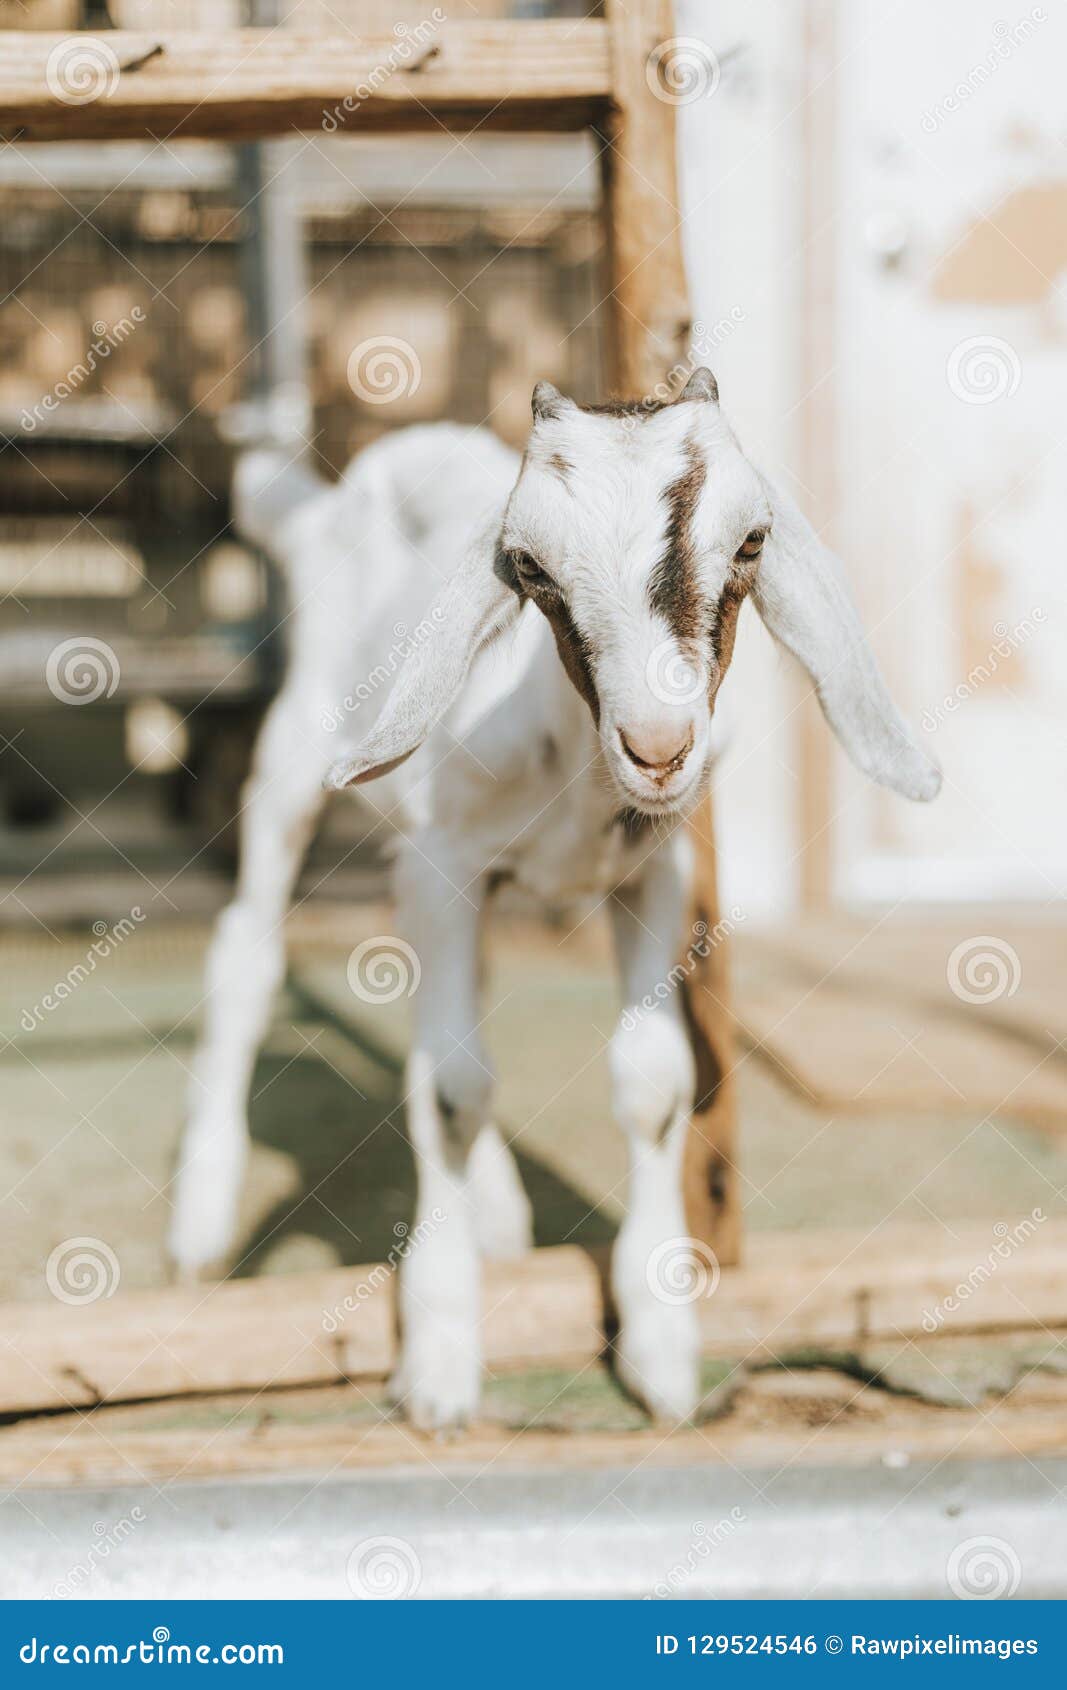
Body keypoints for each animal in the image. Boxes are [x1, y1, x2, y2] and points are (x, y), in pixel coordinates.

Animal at [169, 370, 940, 1426]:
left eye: (751, 542)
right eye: (528, 565)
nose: (657, 747)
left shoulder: (654, 872)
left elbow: (651, 1085)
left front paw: (661, 1350)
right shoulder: (440, 867)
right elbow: (450, 1090)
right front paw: (441, 1358)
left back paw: (496, 1210)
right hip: (297, 759)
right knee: (249, 951)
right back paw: (203, 1220)